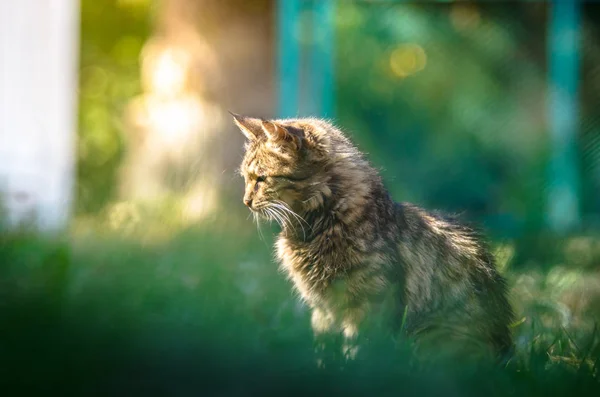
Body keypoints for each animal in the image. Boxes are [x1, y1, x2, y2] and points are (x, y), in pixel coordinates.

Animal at [232, 113, 512, 362]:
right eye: (246, 178)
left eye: (261, 178)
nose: (245, 201)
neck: (319, 228)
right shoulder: (323, 311)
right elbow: (324, 354)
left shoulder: (368, 307)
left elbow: (358, 354)